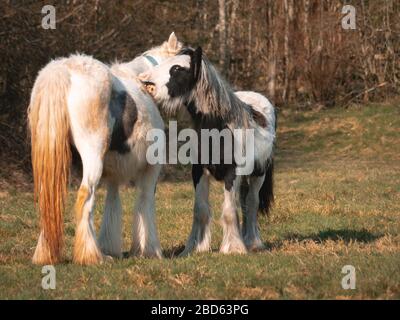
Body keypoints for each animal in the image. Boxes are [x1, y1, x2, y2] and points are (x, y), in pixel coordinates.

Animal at [28, 32, 183, 264]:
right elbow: (145, 203)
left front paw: (110, 248)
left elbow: (112, 206)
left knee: (49, 203)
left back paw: (46, 255)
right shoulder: (151, 170)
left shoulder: (113, 176)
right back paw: (92, 257)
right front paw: (149, 251)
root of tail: (64, 70)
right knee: (85, 197)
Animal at [140, 47, 276, 255]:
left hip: (258, 175)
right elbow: (200, 210)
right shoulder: (199, 171)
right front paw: (195, 247)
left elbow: (229, 211)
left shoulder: (232, 174)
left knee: (252, 203)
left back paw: (253, 243)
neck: (217, 128)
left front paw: (233, 248)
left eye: (177, 68)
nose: (145, 81)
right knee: (245, 204)